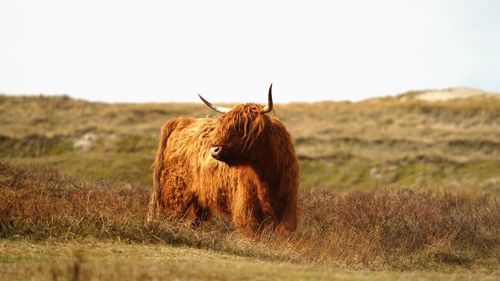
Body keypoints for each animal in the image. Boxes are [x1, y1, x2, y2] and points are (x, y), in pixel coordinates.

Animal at [147, 83, 296, 234]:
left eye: (243, 127)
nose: (214, 149)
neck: (266, 175)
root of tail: (182, 121)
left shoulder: (286, 210)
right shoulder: (247, 211)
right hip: (175, 194)